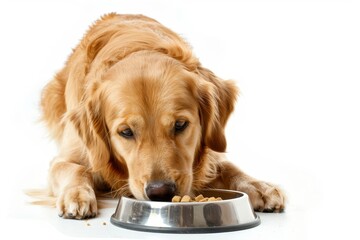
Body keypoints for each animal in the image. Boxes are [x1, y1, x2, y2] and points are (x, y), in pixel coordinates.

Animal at [39, 13, 286, 219]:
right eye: (126, 132)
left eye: (180, 124)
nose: (160, 192)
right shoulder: (68, 156)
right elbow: (75, 168)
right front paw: (77, 195)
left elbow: (228, 166)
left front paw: (257, 186)